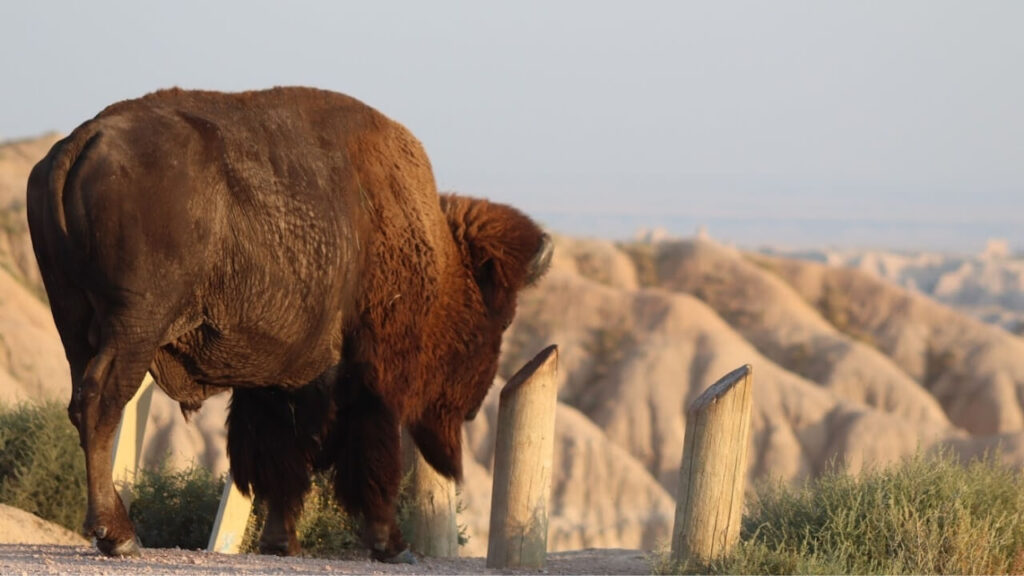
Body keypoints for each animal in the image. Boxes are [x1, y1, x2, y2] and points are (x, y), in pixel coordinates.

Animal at [25, 86, 552, 561]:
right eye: (497, 317)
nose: (473, 406)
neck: (438, 257)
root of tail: (83, 140)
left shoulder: (275, 379)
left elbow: (277, 456)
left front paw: (281, 542)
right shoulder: (369, 380)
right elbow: (368, 457)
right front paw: (392, 545)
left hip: (73, 322)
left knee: (82, 404)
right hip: (134, 327)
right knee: (102, 404)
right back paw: (119, 536)